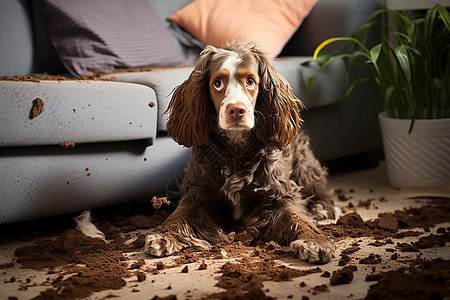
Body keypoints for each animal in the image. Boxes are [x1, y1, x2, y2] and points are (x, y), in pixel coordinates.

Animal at [144, 41, 338, 262]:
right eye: (217, 83)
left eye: (251, 81)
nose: (236, 110)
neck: (236, 149)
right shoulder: (198, 193)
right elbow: (179, 214)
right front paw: (164, 236)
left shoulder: (280, 193)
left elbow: (298, 217)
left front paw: (316, 241)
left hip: (305, 166)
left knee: (323, 190)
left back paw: (321, 208)